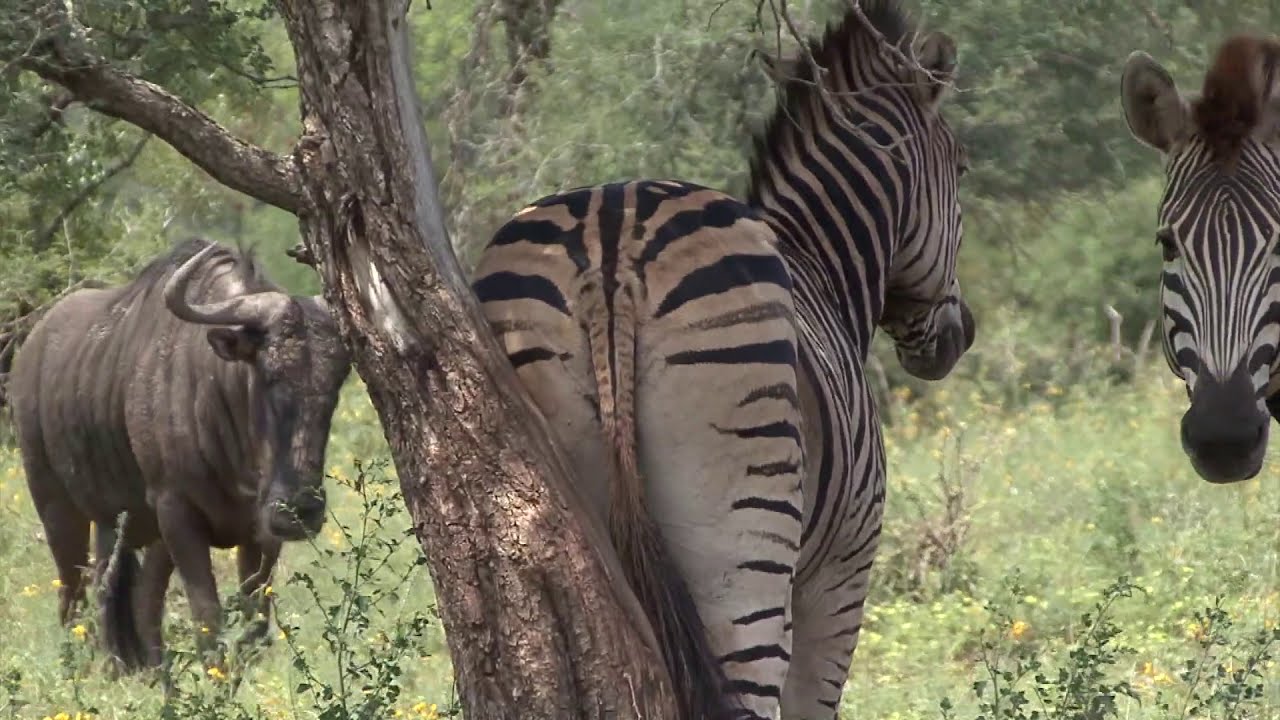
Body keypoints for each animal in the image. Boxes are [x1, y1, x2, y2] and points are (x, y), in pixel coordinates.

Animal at [471, 1, 973, 717]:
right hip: (740, 552)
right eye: (960, 169)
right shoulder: (842, 575)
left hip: (555, 519)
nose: (958, 338)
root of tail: (610, 239)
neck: (821, 264)